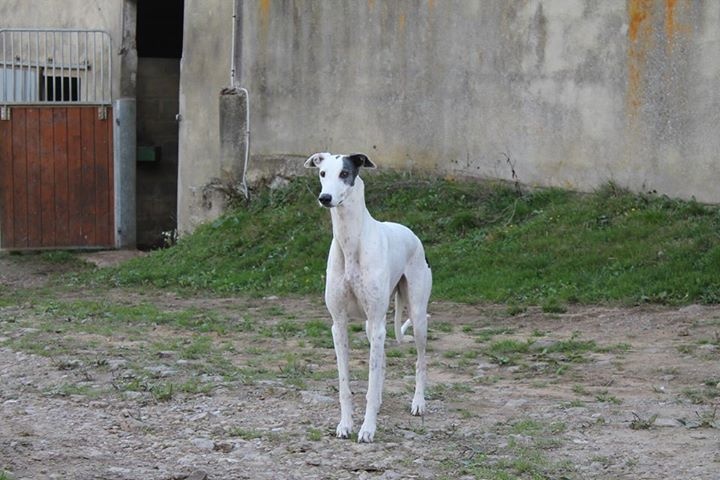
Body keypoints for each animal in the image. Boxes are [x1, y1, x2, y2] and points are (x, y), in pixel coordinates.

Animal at [306, 151, 434, 442]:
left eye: (345, 173)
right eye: (322, 173)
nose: (325, 198)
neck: (351, 242)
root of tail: (411, 234)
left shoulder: (377, 324)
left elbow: (372, 381)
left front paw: (367, 429)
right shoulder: (339, 324)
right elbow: (345, 384)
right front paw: (345, 425)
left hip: (417, 317)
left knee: (420, 361)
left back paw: (418, 403)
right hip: (369, 325)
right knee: (383, 362)